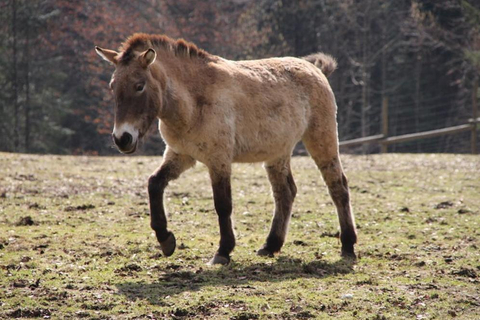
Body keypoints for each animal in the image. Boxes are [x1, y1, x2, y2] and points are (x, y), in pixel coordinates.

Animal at [94, 33, 356, 264]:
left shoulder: (218, 159)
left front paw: (223, 251)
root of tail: (316, 70)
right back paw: (270, 246)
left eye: (139, 86)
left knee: (338, 187)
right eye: (113, 86)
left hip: (321, 140)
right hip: (277, 153)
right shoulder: (180, 155)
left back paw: (348, 246)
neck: (193, 100)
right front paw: (166, 240)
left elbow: (223, 204)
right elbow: (154, 184)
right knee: (286, 192)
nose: (122, 139)